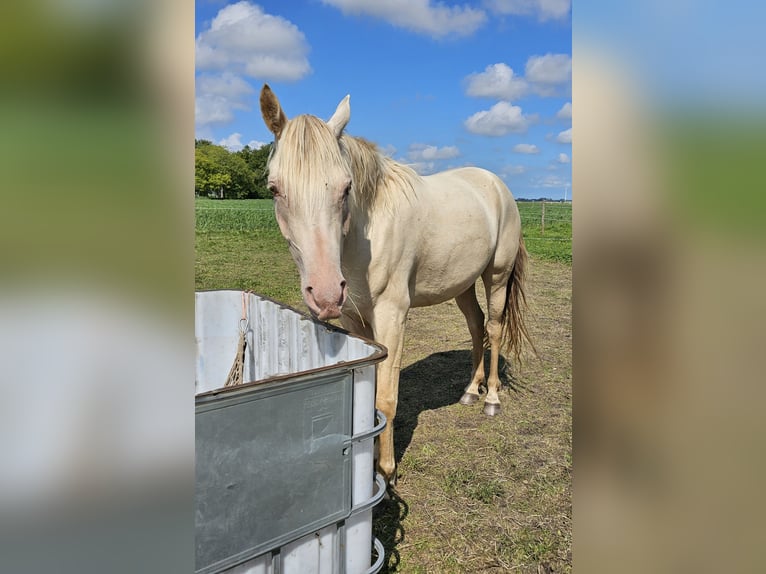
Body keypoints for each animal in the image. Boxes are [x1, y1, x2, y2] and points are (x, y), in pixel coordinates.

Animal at [258, 83, 536, 484]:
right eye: (274, 189)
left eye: (346, 188)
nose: (326, 294)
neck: (367, 231)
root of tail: (497, 186)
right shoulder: (355, 319)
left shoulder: (392, 315)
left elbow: (386, 397)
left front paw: (385, 471)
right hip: (463, 284)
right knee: (476, 325)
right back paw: (470, 390)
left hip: (496, 276)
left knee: (495, 329)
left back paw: (491, 399)